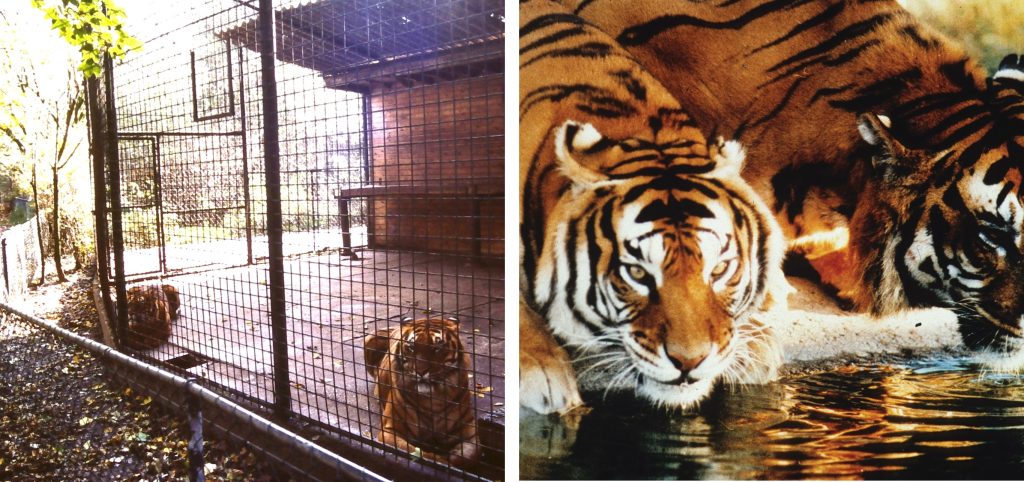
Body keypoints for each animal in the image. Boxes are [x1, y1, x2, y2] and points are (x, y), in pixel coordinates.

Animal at [362, 319, 477, 470]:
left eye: (437, 347)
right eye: (411, 347)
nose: (421, 372)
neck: (433, 400)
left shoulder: (469, 430)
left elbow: (468, 456)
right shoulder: (389, 431)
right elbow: (422, 455)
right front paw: (443, 460)